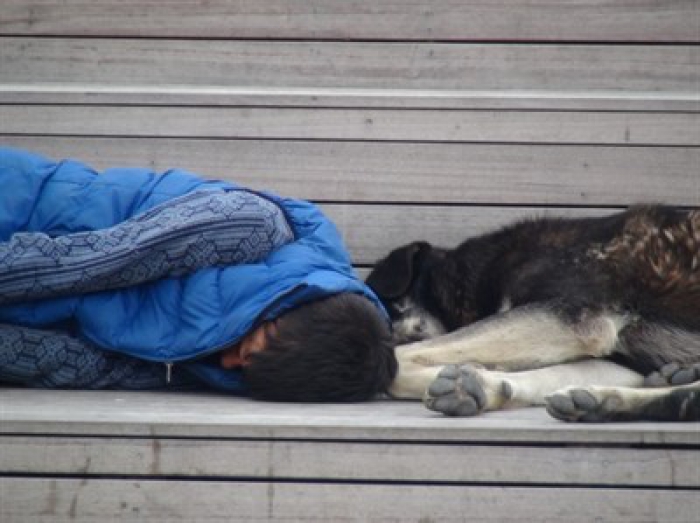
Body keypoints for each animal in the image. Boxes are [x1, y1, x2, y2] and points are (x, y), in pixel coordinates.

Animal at [366, 205, 700, 422]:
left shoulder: (573, 320)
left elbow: (399, 359)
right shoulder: (618, 357)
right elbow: (547, 373)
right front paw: (481, 385)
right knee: (686, 400)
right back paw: (602, 402)